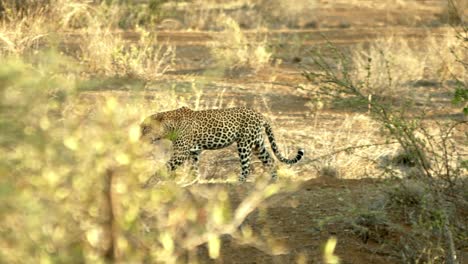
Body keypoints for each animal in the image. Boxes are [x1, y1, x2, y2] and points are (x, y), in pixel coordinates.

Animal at [141, 105, 306, 186]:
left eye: (145, 128)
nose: (140, 137)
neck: (170, 125)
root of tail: (261, 115)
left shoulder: (181, 153)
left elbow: (165, 167)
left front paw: (150, 181)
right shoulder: (194, 152)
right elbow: (194, 168)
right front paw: (193, 181)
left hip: (244, 143)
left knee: (246, 167)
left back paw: (237, 182)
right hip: (257, 144)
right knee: (270, 160)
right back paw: (274, 181)